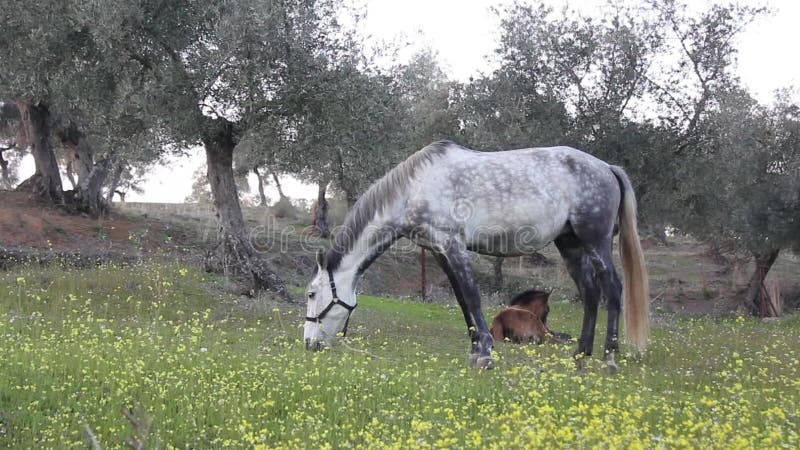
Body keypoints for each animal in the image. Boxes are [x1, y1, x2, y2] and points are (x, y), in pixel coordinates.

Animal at [304, 141, 648, 370]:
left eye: (311, 294)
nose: (309, 344)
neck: (414, 189)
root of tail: (607, 168)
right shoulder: (439, 251)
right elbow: (461, 299)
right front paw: (474, 350)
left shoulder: (454, 246)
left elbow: (472, 297)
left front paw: (485, 354)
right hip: (571, 244)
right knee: (590, 293)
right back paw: (580, 354)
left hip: (596, 241)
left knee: (612, 289)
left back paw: (609, 357)